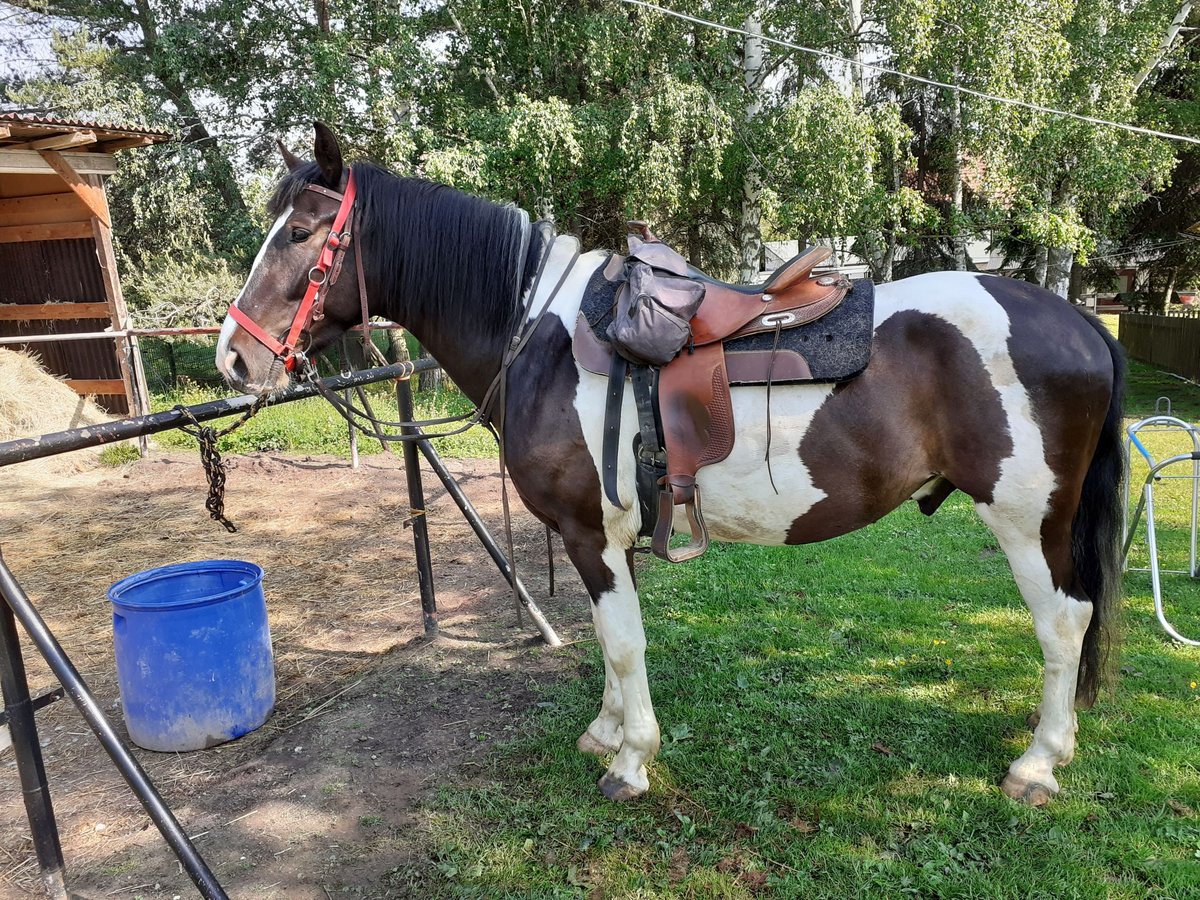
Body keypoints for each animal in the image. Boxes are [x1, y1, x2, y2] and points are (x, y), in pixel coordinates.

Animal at [216, 123, 1123, 806]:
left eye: (300, 234)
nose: (233, 358)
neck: (536, 337)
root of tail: (1079, 322)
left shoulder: (591, 534)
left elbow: (622, 644)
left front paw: (630, 762)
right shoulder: (603, 541)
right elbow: (610, 639)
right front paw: (607, 732)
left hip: (1028, 520)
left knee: (1064, 621)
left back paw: (1038, 763)